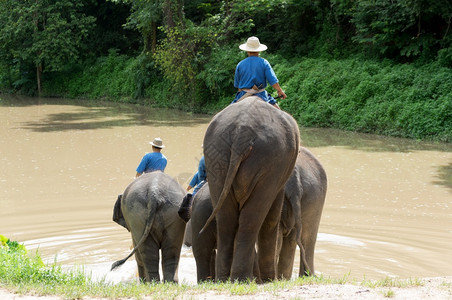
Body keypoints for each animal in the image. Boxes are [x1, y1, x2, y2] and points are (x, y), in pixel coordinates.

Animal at [201, 96, 300, 284]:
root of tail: (241, 133)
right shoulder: (278, 173)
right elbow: (272, 217)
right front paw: (269, 280)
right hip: (268, 163)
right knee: (251, 220)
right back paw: (243, 279)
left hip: (217, 159)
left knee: (225, 220)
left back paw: (224, 279)